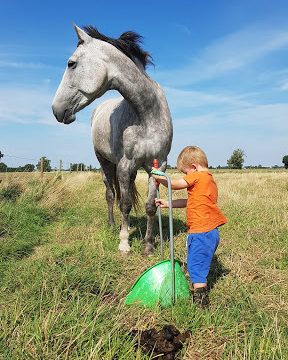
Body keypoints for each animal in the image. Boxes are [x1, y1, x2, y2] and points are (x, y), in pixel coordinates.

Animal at [51, 25, 172, 255]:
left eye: (71, 63)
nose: (56, 110)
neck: (147, 114)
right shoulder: (124, 166)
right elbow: (124, 203)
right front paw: (124, 243)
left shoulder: (158, 166)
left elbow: (150, 206)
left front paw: (149, 246)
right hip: (105, 162)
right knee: (109, 193)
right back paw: (112, 224)